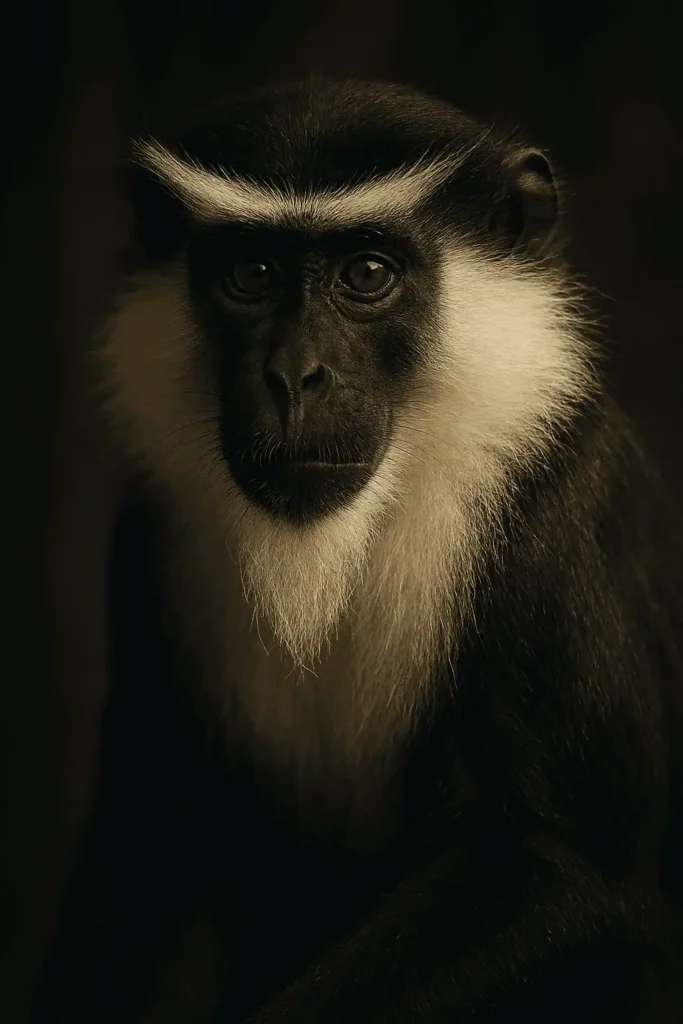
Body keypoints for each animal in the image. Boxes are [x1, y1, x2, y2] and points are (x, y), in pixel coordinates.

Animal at [35, 77, 683, 1024]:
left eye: (366, 275)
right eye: (251, 275)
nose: (293, 375)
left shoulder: (553, 515)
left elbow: (564, 872)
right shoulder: (154, 540)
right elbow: (157, 853)